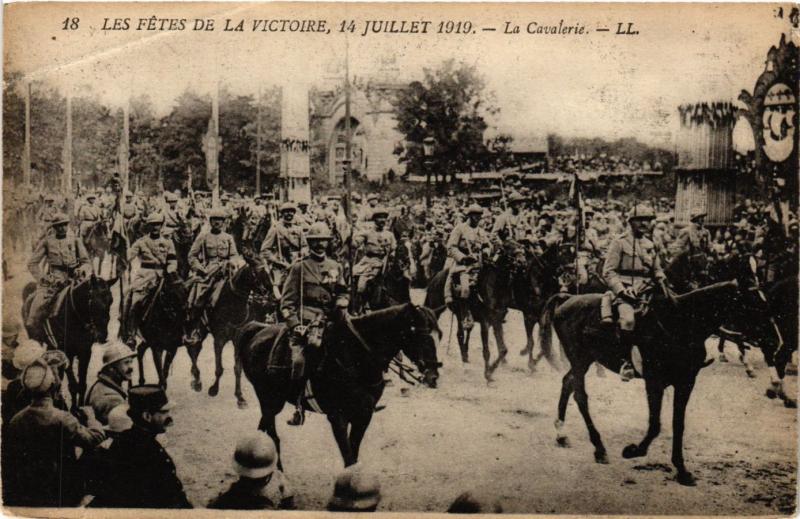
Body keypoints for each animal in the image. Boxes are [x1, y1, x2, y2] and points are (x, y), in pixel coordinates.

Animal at [21, 276, 112, 410]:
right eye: (93, 301)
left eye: (111, 300)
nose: (102, 335)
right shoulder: (66, 352)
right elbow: (73, 385)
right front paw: (74, 409)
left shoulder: (85, 352)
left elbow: (82, 384)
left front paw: (81, 406)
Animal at [185, 248, 276, 410]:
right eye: (257, 272)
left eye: (270, 271)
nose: (273, 297)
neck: (231, 301)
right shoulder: (219, 339)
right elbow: (219, 368)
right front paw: (214, 389)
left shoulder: (238, 339)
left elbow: (237, 369)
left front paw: (240, 397)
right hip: (195, 327)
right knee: (193, 349)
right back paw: (197, 380)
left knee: (195, 350)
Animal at [234, 304, 440, 472]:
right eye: (413, 331)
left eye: (433, 332)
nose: (433, 375)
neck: (355, 357)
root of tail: (259, 329)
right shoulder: (337, 417)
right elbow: (348, 458)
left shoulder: (364, 415)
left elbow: (354, 453)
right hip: (269, 399)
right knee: (272, 434)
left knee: (262, 428)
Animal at [428, 243, 516, 382]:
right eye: (512, 248)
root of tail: (436, 277)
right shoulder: (485, 322)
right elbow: (486, 351)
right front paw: (487, 374)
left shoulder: (496, 321)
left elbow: (503, 349)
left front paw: (491, 371)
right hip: (436, 309)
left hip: (459, 315)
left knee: (461, 334)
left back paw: (466, 361)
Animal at [536, 260, 776, 488]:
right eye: (753, 303)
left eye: (765, 301)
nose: (774, 340)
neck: (680, 323)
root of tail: (567, 299)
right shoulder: (654, 382)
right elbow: (655, 425)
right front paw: (633, 450)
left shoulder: (686, 382)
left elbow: (678, 424)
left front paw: (682, 471)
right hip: (579, 357)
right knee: (580, 396)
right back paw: (599, 448)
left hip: (585, 360)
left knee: (567, 382)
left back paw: (561, 434)